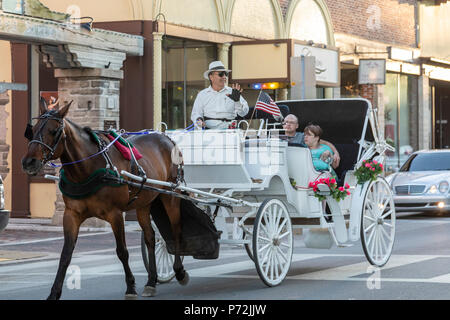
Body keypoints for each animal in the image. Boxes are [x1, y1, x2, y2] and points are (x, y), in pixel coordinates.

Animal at [19, 100, 186, 300]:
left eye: (54, 131)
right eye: (33, 129)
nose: (28, 162)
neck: (87, 169)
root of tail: (167, 138)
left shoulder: (115, 214)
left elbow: (122, 251)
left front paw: (130, 287)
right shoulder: (71, 214)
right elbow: (65, 254)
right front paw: (54, 293)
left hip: (171, 195)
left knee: (176, 230)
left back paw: (179, 271)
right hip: (144, 203)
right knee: (150, 237)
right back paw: (151, 281)